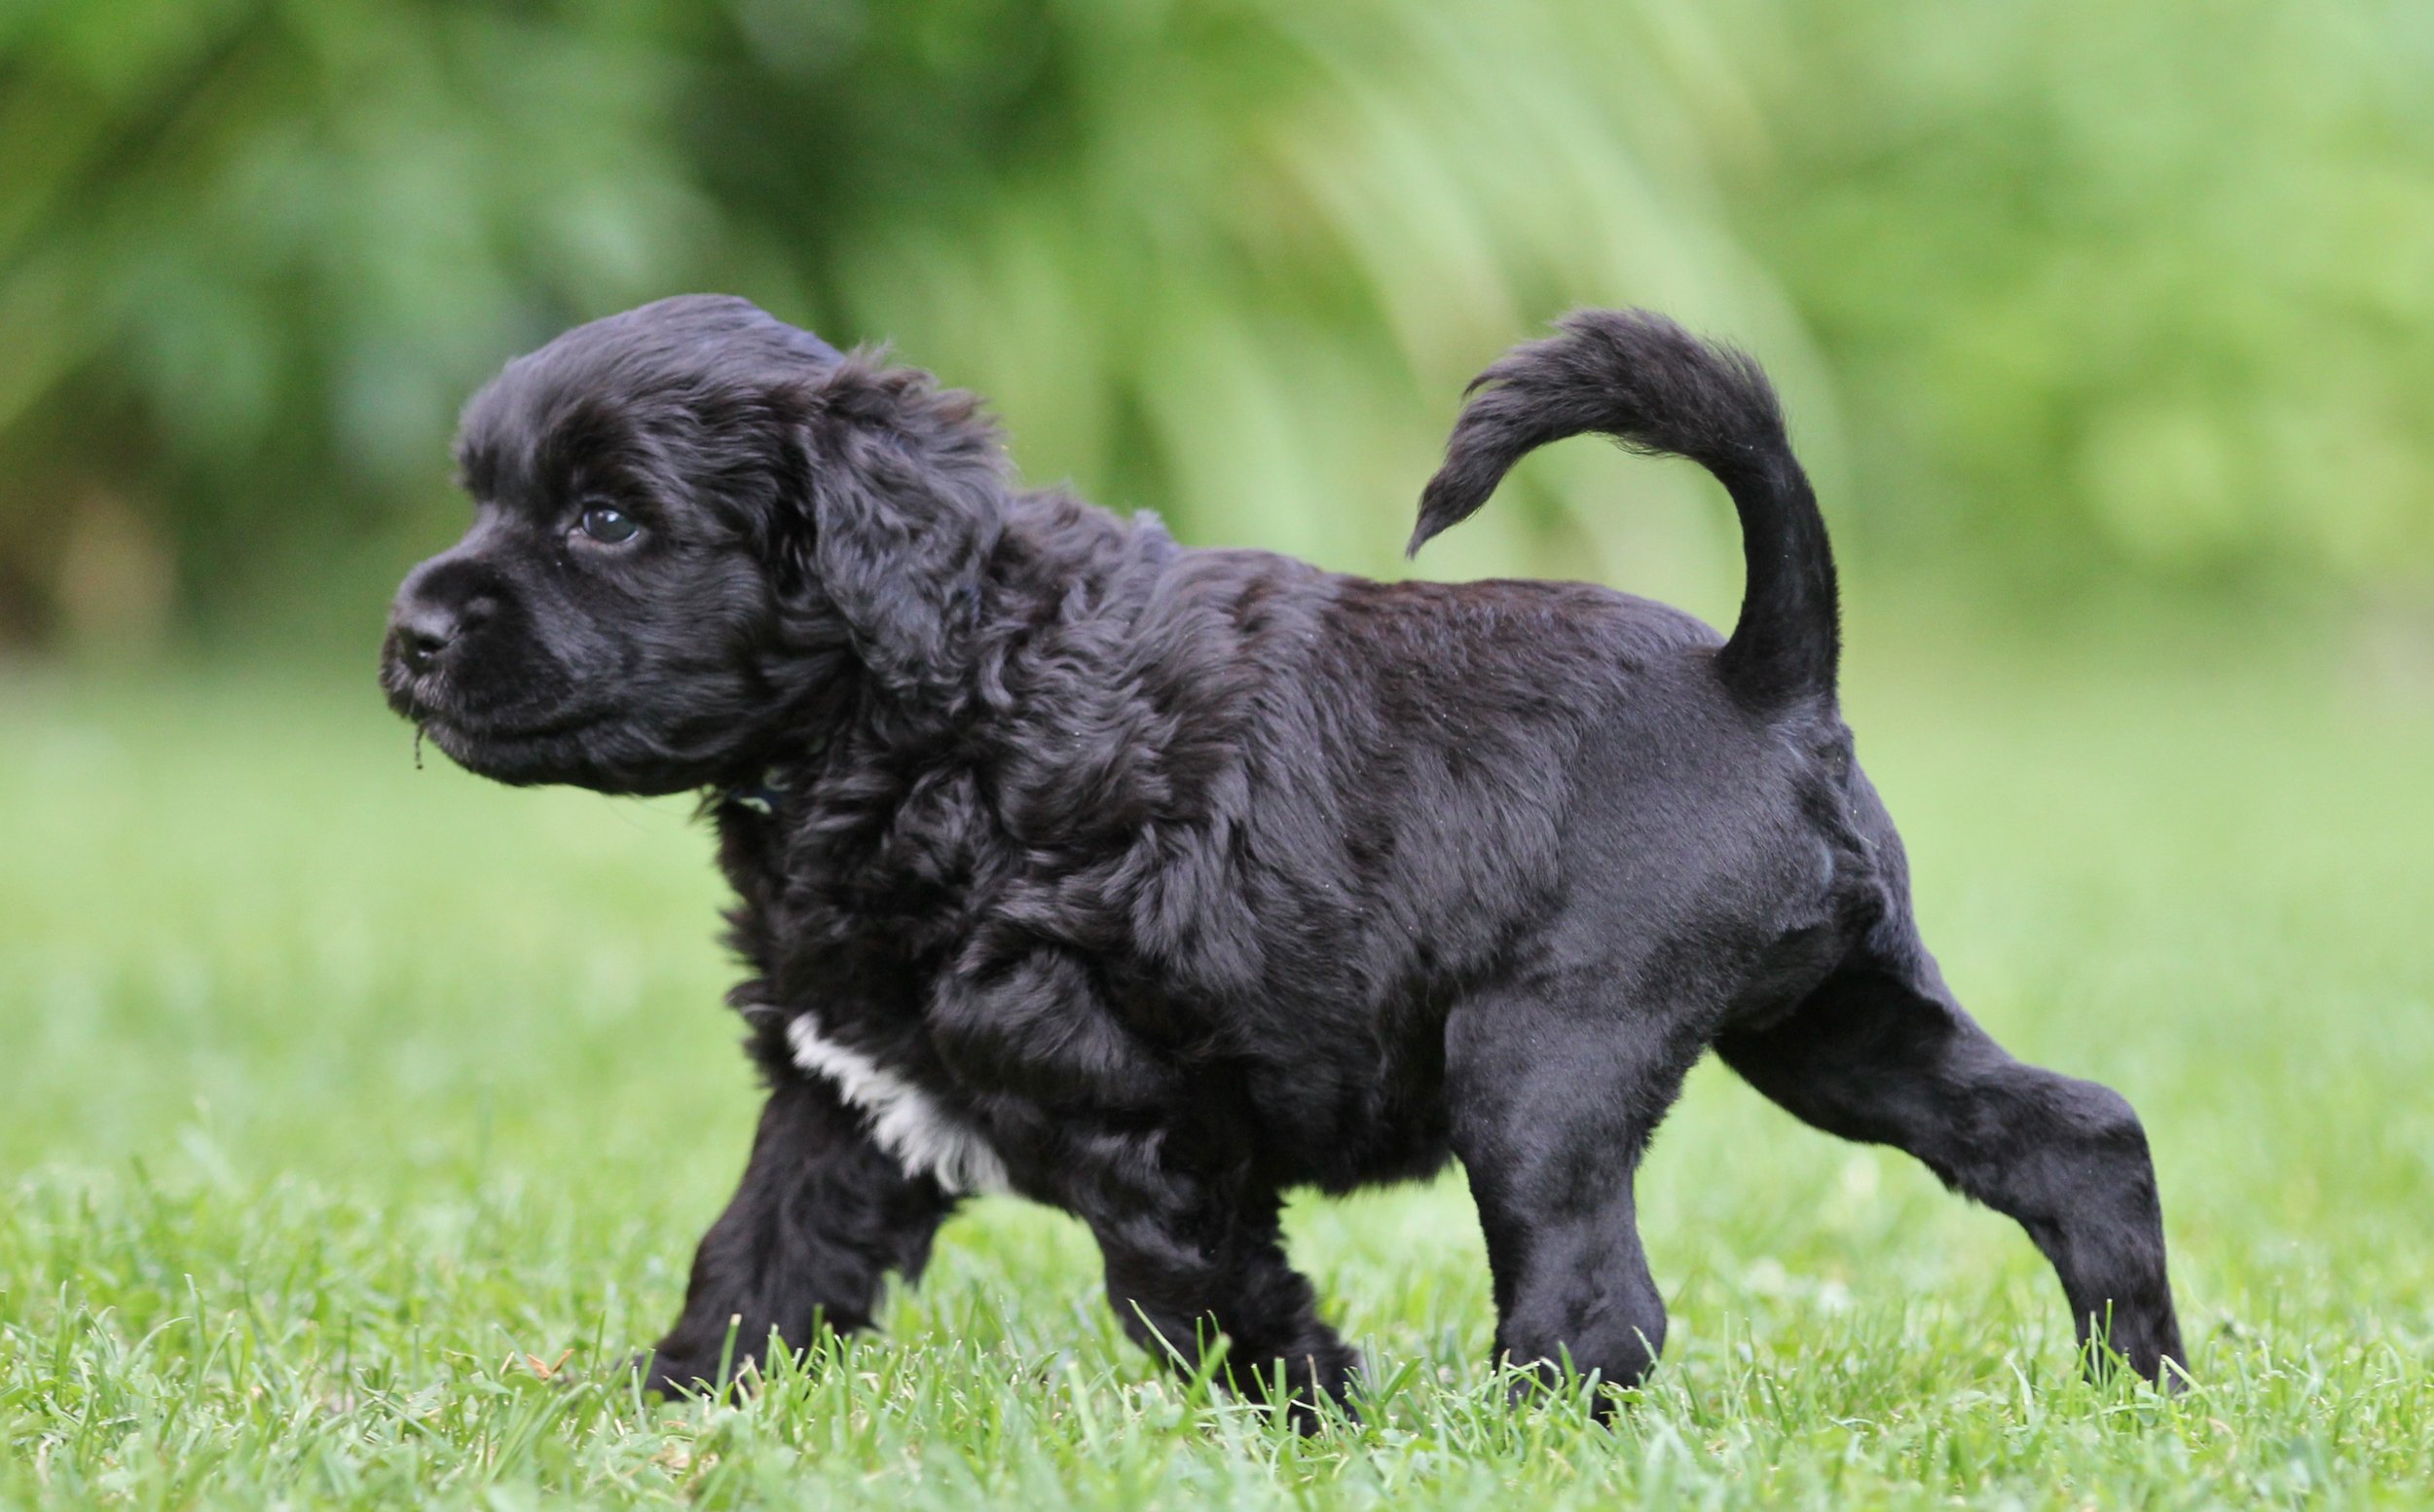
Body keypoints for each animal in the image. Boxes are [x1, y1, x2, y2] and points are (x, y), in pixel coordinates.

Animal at [380, 298, 2191, 1412]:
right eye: (485, 494)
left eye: (607, 518)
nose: (408, 634)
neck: (936, 697)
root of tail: (1762, 671)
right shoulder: (846, 1094)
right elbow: (755, 1266)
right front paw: (671, 1414)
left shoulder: (1139, 1107)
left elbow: (1200, 1290)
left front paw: (1306, 1420)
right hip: (1837, 1026)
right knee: (2075, 1134)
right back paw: (2144, 1383)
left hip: (1542, 1065)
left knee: (1595, 1303)